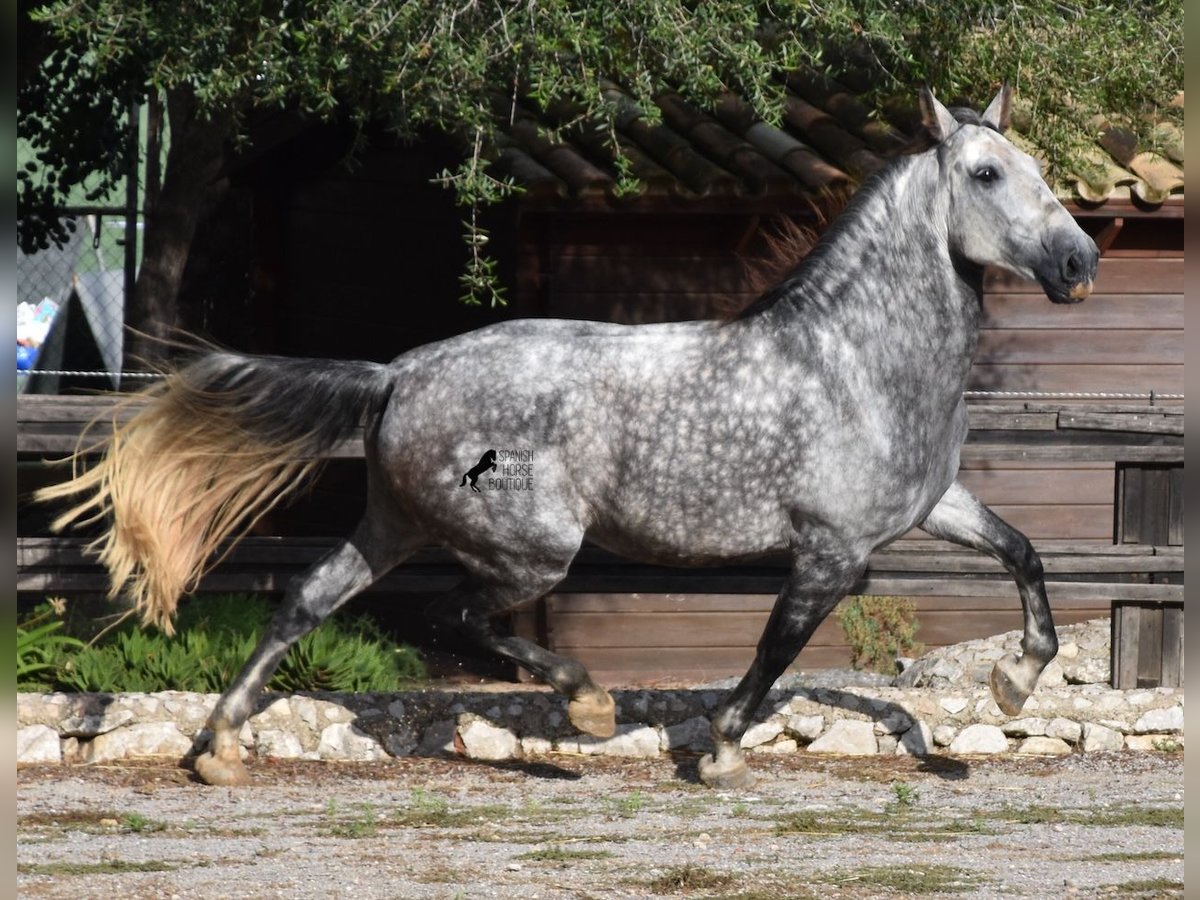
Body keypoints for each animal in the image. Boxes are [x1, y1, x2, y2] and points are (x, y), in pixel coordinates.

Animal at [44, 84, 1099, 787]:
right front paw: (718, 749)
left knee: (308, 599)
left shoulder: (933, 508)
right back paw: (586, 709)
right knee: (461, 619)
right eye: (988, 173)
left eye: (1043, 171)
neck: (855, 359)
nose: (1079, 262)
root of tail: (400, 373)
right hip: (534, 547)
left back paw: (220, 749)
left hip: (391, 525)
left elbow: (1024, 555)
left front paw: (1013, 686)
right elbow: (775, 652)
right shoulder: (832, 550)